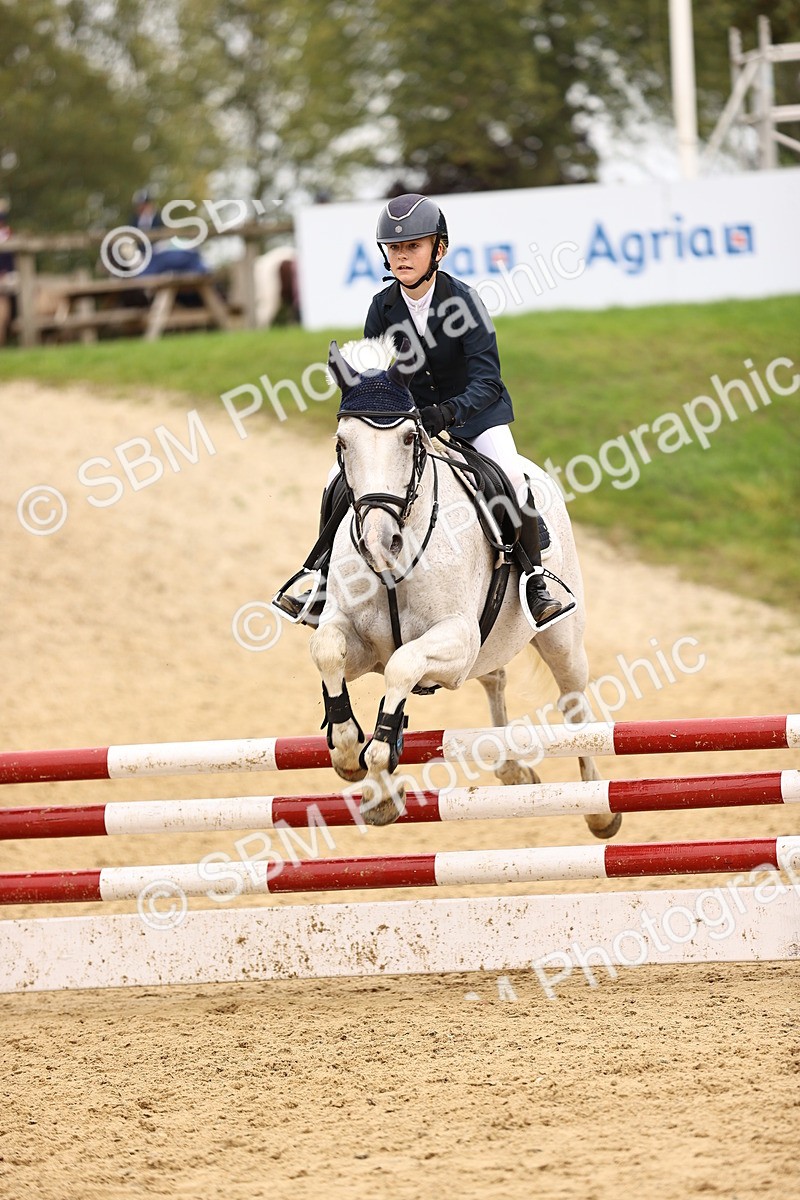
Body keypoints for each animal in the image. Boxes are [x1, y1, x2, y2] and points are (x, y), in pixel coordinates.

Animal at [307, 336, 620, 839]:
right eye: (342, 443)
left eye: (410, 438)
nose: (379, 543)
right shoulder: (359, 643)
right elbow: (327, 651)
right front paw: (350, 754)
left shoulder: (455, 638)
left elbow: (403, 665)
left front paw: (381, 777)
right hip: (486, 650)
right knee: (494, 678)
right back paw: (512, 769)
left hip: (560, 642)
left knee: (574, 706)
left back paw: (599, 808)